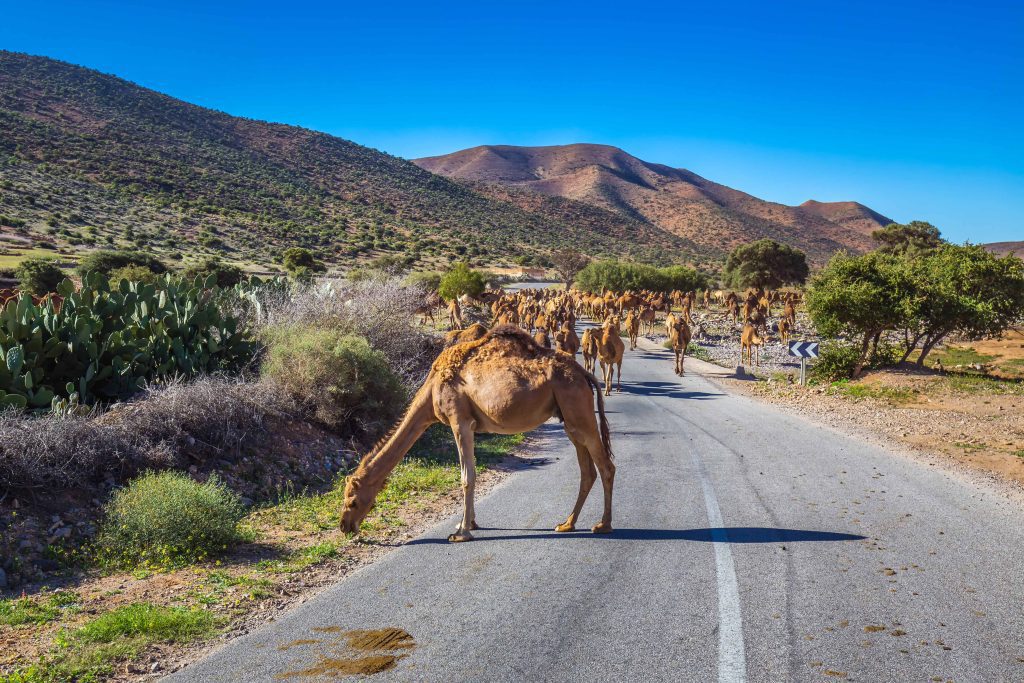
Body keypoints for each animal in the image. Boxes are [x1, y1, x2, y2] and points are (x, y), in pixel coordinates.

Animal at [340, 326, 615, 542]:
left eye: (352, 501)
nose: (345, 526)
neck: (431, 391)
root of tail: (584, 373)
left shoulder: (459, 421)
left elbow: (466, 477)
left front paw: (461, 532)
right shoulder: (469, 426)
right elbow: (471, 473)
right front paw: (469, 522)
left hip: (578, 410)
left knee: (606, 466)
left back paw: (603, 525)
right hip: (569, 419)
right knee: (587, 470)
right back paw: (567, 524)